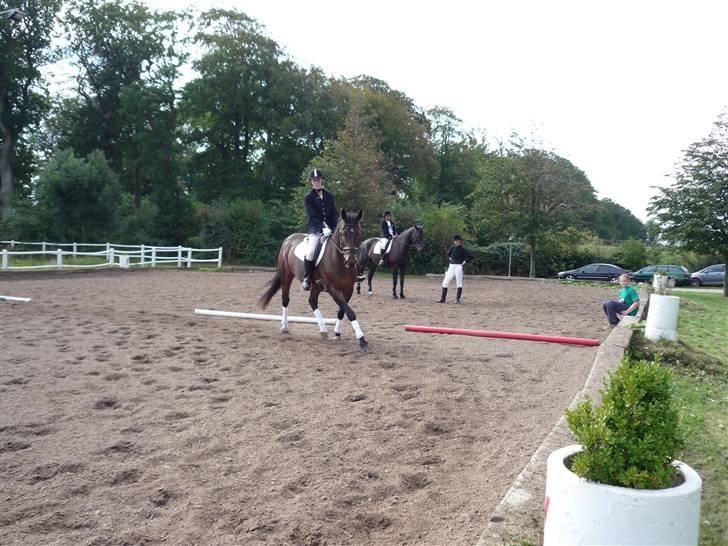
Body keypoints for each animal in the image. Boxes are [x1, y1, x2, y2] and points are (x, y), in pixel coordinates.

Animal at [258, 208, 370, 352]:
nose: (350, 262)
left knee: (312, 301)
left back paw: (323, 330)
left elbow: (342, 311)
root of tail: (288, 240)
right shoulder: (333, 289)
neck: (339, 261)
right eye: (343, 233)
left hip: (316, 286)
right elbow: (350, 312)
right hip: (286, 277)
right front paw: (362, 341)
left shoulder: (348, 289)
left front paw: (337, 334)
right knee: (285, 299)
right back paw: (285, 327)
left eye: (358, 233)